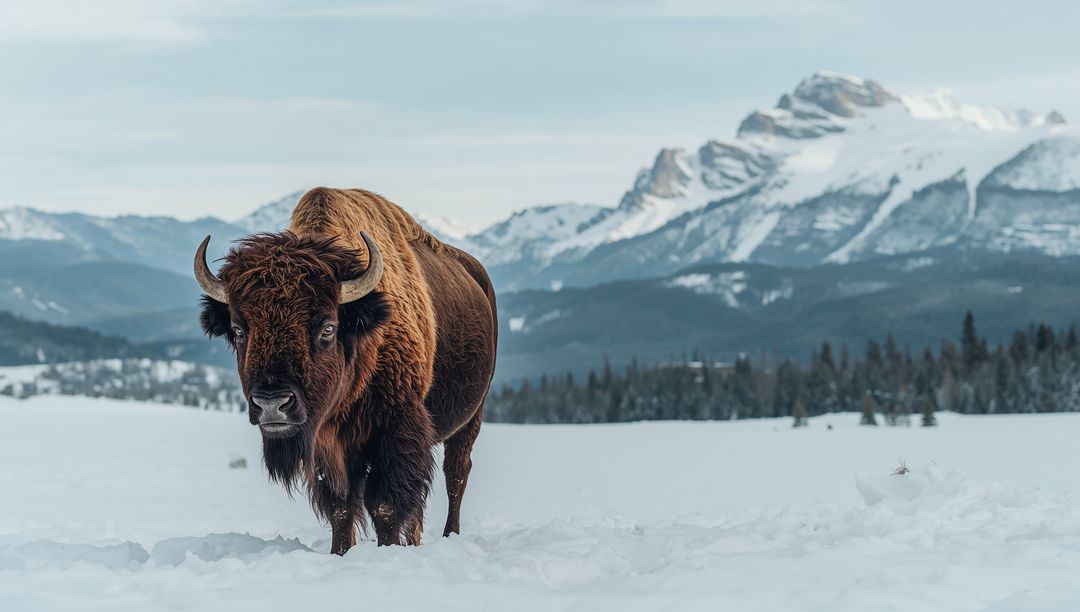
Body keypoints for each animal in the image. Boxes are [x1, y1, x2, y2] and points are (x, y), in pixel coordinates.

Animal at [195, 187, 498, 554]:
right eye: (239, 330)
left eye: (328, 328)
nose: (272, 403)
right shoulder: (327, 446)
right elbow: (341, 507)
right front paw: (340, 553)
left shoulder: (397, 428)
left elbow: (385, 506)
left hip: (471, 417)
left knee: (456, 475)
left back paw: (450, 535)